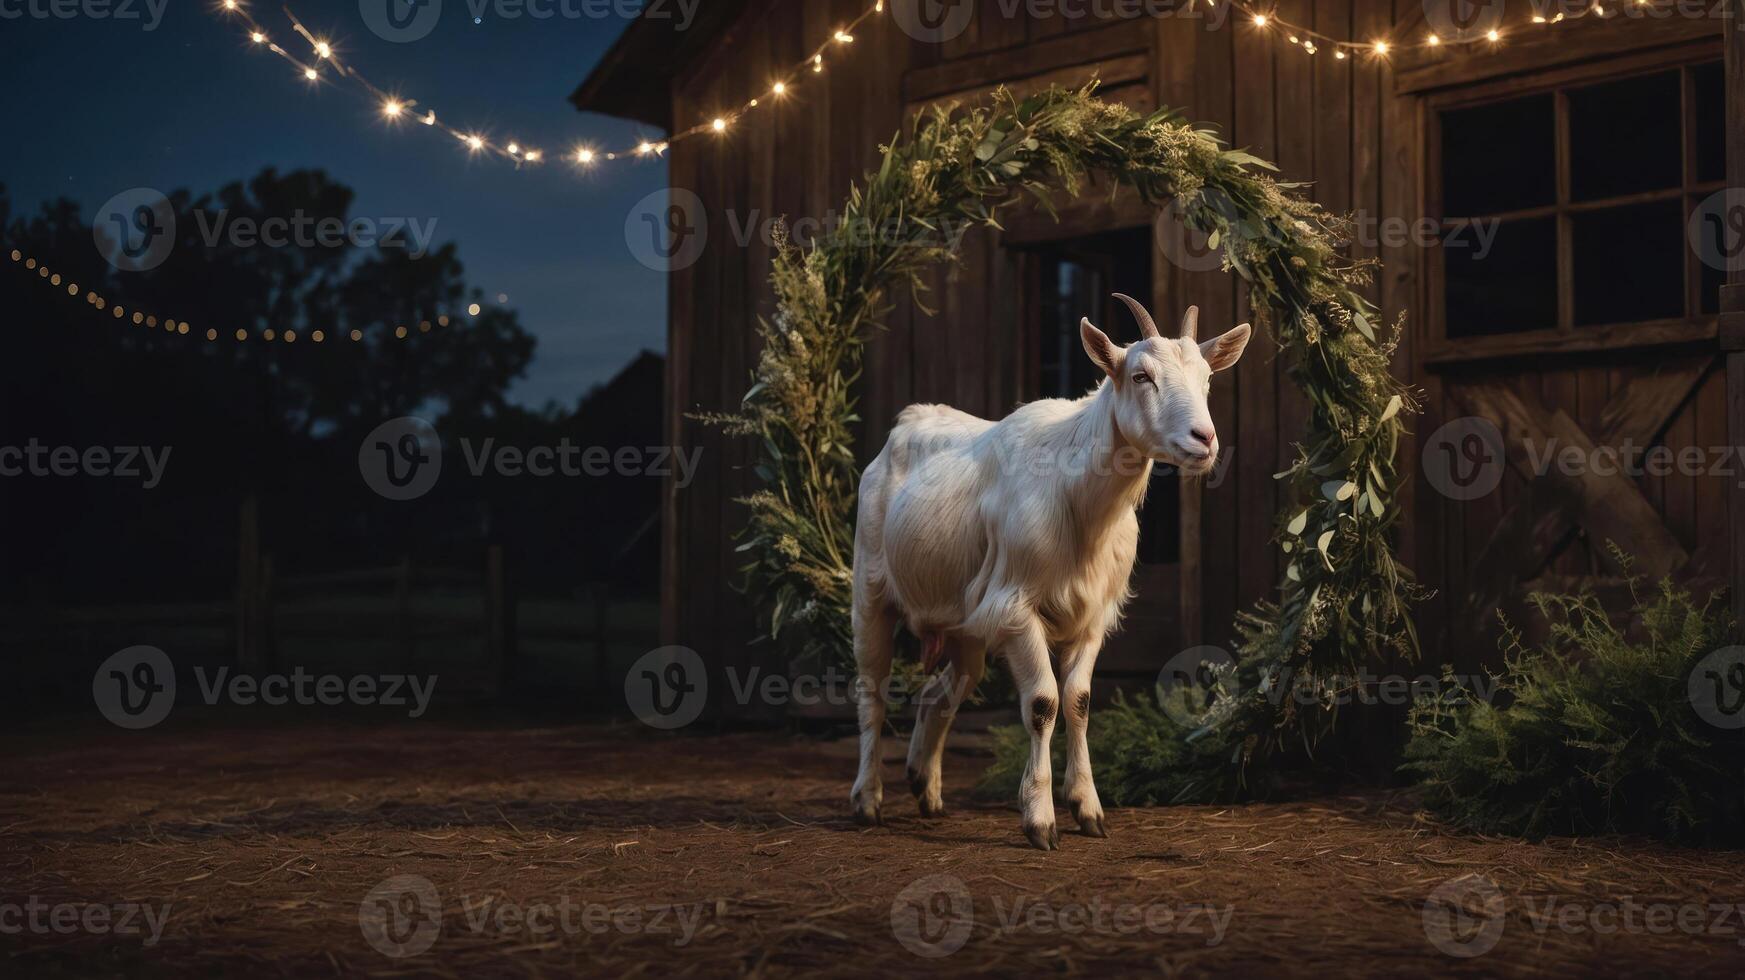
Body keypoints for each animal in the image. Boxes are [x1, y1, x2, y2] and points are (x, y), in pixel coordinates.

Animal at [849, 294, 1250, 850]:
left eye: (1208, 378)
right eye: (1141, 375)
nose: (1204, 439)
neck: (1082, 503)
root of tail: (906, 424)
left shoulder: (1092, 616)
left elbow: (1078, 701)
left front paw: (1088, 809)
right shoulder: (1016, 607)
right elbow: (1042, 703)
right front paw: (1040, 821)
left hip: (964, 622)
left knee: (940, 694)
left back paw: (925, 787)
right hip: (870, 589)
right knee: (872, 691)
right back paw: (868, 800)